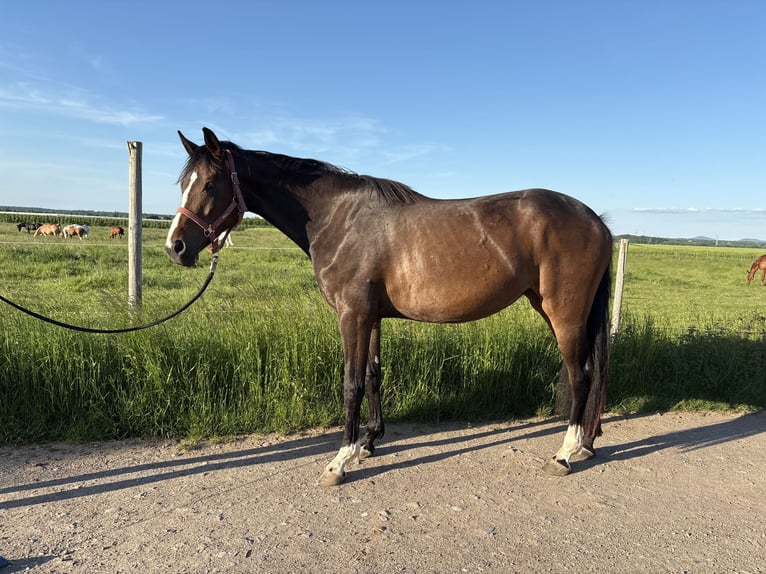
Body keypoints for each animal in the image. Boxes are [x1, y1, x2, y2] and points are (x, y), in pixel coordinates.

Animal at [165, 128, 613, 486]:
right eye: (183, 183)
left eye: (210, 184)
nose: (176, 247)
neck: (337, 219)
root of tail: (596, 219)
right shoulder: (372, 317)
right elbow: (374, 376)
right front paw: (368, 442)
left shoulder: (352, 315)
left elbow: (352, 384)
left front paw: (340, 460)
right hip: (554, 309)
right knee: (592, 373)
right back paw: (586, 444)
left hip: (564, 313)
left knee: (581, 376)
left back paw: (564, 454)